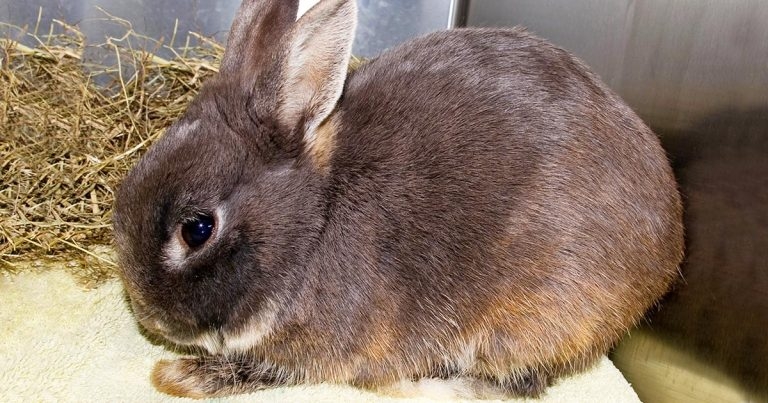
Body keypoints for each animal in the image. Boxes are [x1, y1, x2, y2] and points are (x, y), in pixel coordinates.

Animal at [112, 0, 684, 399]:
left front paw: (170, 376)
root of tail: (669, 250)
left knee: (517, 384)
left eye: (197, 229)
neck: (315, 220)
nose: (146, 315)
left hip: (528, 317)